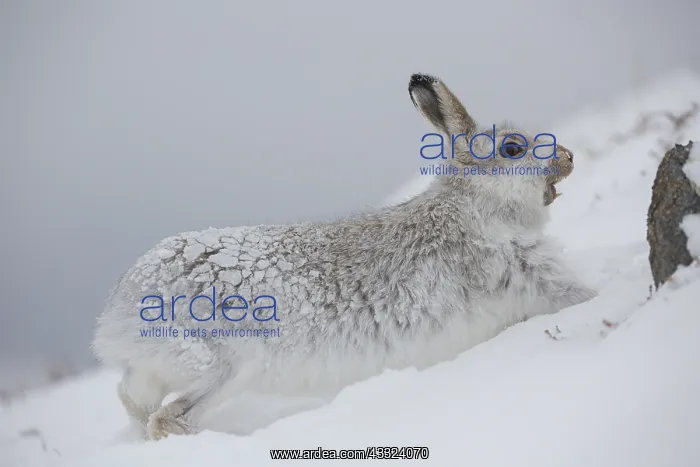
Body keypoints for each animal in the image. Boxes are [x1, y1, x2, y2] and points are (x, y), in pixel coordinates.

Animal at [92, 73, 597, 440]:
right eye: (513, 149)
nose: (570, 157)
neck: (478, 206)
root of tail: (118, 312)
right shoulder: (533, 276)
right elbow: (576, 295)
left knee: (131, 397)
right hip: (223, 367)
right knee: (169, 417)